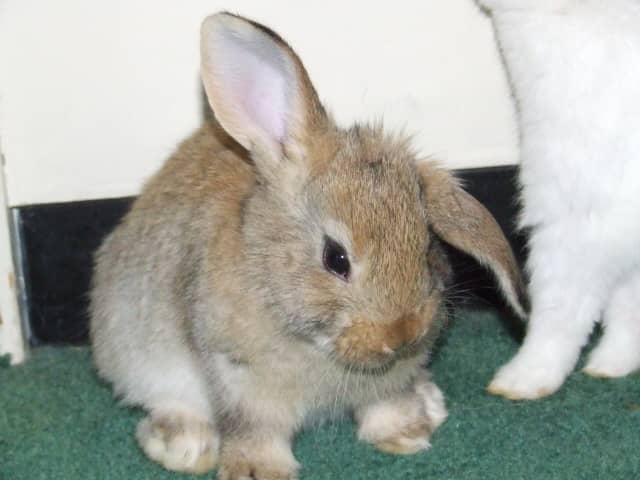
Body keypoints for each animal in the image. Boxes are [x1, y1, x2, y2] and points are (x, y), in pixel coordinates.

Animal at [89, 12, 524, 480]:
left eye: (427, 243)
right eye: (336, 258)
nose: (402, 333)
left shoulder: (390, 381)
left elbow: (387, 404)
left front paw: (406, 435)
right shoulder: (239, 381)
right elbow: (253, 431)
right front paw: (259, 472)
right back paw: (184, 445)